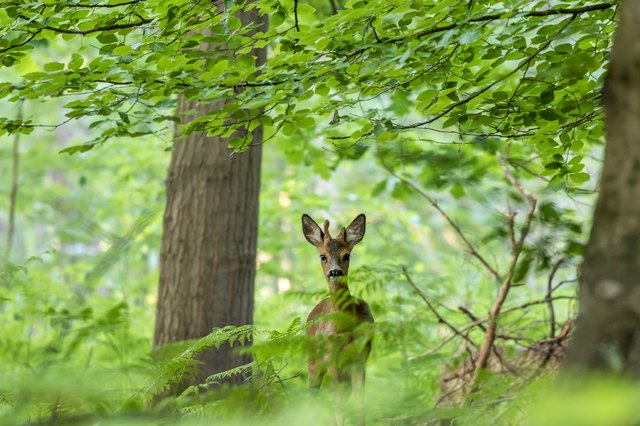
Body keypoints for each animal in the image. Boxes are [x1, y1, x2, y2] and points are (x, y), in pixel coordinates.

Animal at [302, 213, 372, 426]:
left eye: (347, 255)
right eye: (322, 256)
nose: (335, 272)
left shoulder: (361, 357)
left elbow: (360, 404)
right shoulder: (333, 359)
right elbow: (338, 405)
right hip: (314, 360)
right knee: (315, 396)